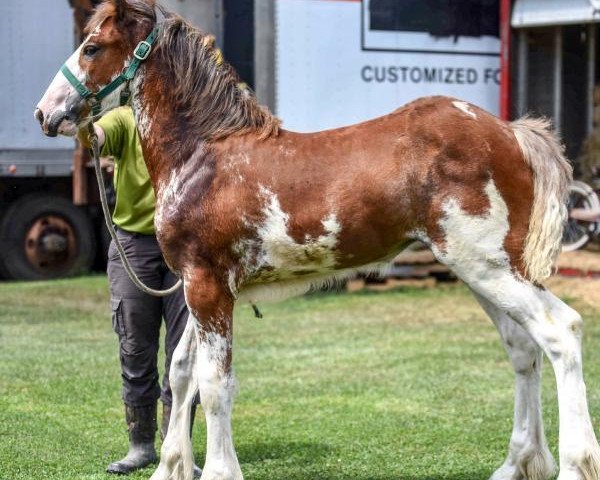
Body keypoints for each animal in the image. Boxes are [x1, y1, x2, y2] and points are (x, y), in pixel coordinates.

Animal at [36, 0, 600, 480]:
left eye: (91, 47)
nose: (46, 113)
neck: (204, 155)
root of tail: (510, 132)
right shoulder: (201, 287)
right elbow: (180, 372)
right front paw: (171, 466)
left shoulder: (207, 287)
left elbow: (215, 385)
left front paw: (218, 470)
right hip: (483, 272)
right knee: (522, 348)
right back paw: (518, 463)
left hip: (487, 266)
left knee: (560, 331)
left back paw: (574, 464)